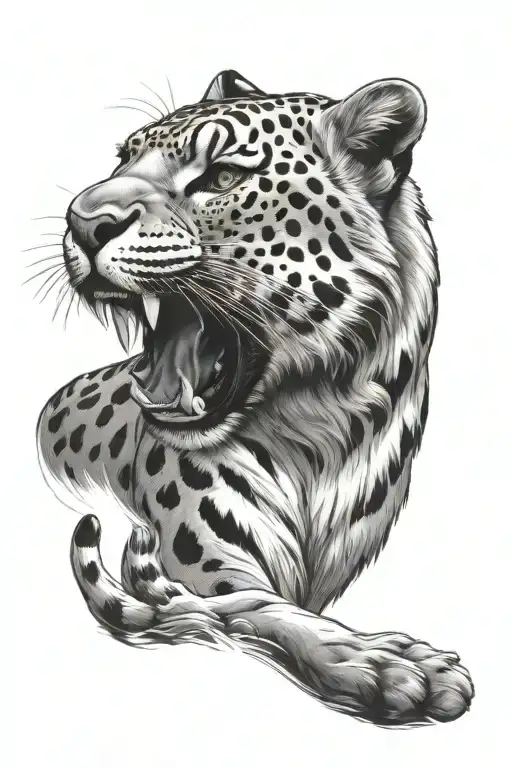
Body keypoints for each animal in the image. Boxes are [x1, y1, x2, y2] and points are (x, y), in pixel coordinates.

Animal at [36, 69, 474, 727]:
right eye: (124, 158)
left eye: (221, 177)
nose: (81, 222)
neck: (320, 433)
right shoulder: (215, 566)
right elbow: (268, 610)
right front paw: (384, 663)